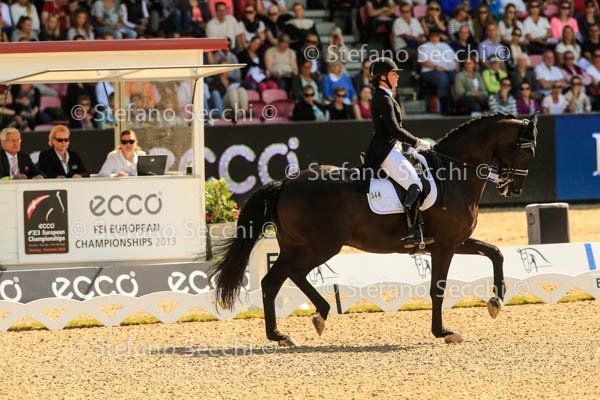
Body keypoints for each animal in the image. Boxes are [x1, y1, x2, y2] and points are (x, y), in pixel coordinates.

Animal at [211, 113, 538, 346]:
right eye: (527, 151)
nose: (513, 189)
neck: (454, 174)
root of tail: (286, 183)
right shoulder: (445, 245)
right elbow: (437, 288)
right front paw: (444, 332)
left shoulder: (457, 241)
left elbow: (495, 253)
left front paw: (496, 302)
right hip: (319, 246)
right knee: (280, 278)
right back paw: (289, 330)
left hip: (299, 245)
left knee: (283, 278)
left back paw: (308, 321)